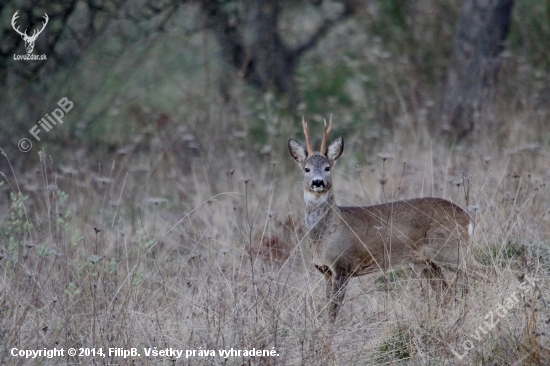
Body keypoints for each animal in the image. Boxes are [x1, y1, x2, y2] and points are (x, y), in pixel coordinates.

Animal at [292, 117, 490, 324]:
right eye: (306, 169)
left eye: (327, 167)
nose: (318, 182)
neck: (328, 232)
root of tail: (467, 218)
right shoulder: (326, 272)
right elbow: (327, 309)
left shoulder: (342, 265)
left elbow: (333, 312)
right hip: (425, 261)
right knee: (446, 293)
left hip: (450, 249)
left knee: (488, 272)